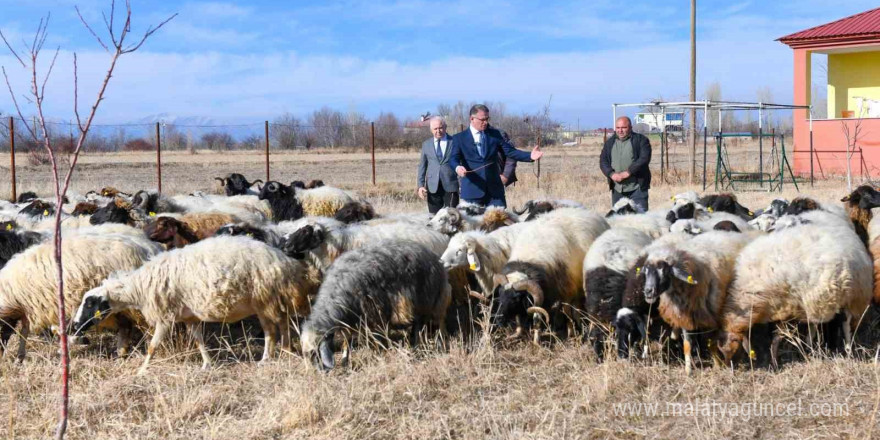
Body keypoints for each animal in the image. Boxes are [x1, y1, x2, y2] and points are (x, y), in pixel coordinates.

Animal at [71, 237, 320, 374]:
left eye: (90, 303)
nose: (73, 328)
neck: (139, 286)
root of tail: (286, 262)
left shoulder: (165, 317)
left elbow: (152, 347)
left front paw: (141, 371)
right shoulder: (189, 317)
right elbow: (199, 341)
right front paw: (207, 364)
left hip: (264, 298)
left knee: (275, 328)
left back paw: (274, 355)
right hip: (266, 301)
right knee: (279, 325)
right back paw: (280, 352)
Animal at [302, 241, 454, 372]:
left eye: (315, 352)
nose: (321, 371)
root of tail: (433, 256)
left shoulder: (374, 313)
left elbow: (376, 338)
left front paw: (377, 355)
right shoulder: (349, 319)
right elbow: (347, 341)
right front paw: (345, 361)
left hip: (433, 300)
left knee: (437, 322)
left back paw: (436, 344)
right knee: (418, 324)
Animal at [716, 220, 872, 368]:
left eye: (735, 348)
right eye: (721, 352)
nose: (728, 367)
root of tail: (854, 242)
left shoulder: (783, 309)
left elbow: (776, 338)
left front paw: (775, 363)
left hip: (849, 296)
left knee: (843, 322)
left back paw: (844, 349)